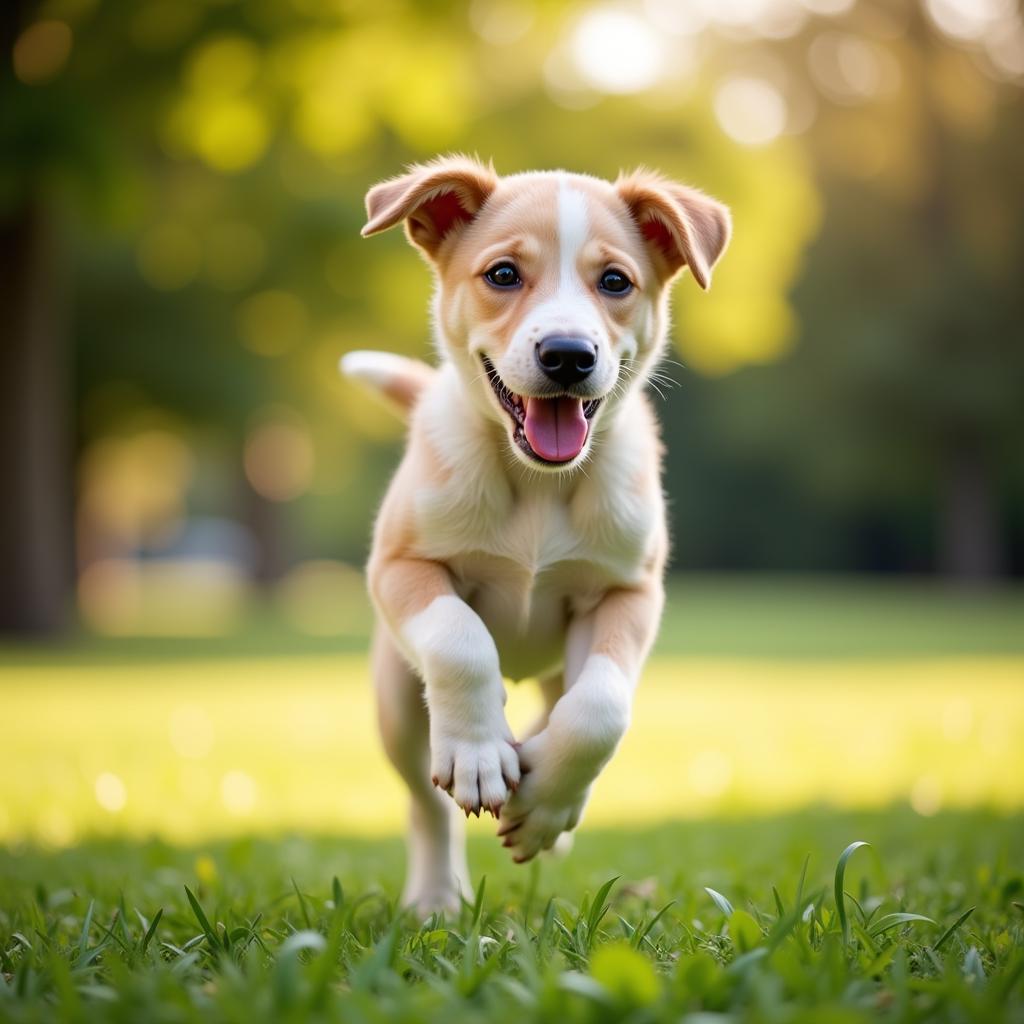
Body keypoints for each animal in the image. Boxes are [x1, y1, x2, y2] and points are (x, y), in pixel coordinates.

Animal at [344, 157, 729, 913]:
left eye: (615, 282)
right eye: (502, 275)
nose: (568, 354)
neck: (539, 488)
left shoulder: (627, 593)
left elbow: (601, 708)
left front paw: (545, 806)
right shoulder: (401, 566)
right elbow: (459, 639)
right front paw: (477, 749)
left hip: (553, 671)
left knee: (561, 711)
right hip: (397, 701)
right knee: (426, 801)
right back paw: (438, 894)